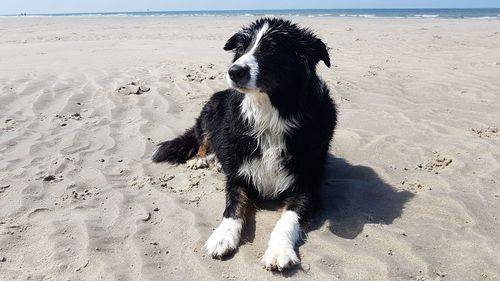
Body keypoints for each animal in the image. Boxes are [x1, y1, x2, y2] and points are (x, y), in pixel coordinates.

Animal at [152, 17, 338, 270]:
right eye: (241, 48)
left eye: (271, 50)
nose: (234, 71)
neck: (270, 116)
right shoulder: (239, 177)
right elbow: (233, 208)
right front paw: (221, 237)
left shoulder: (306, 186)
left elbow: (288, 219)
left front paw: (279, 251)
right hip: (212, 107)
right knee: (204, 139)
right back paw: (201, 159)